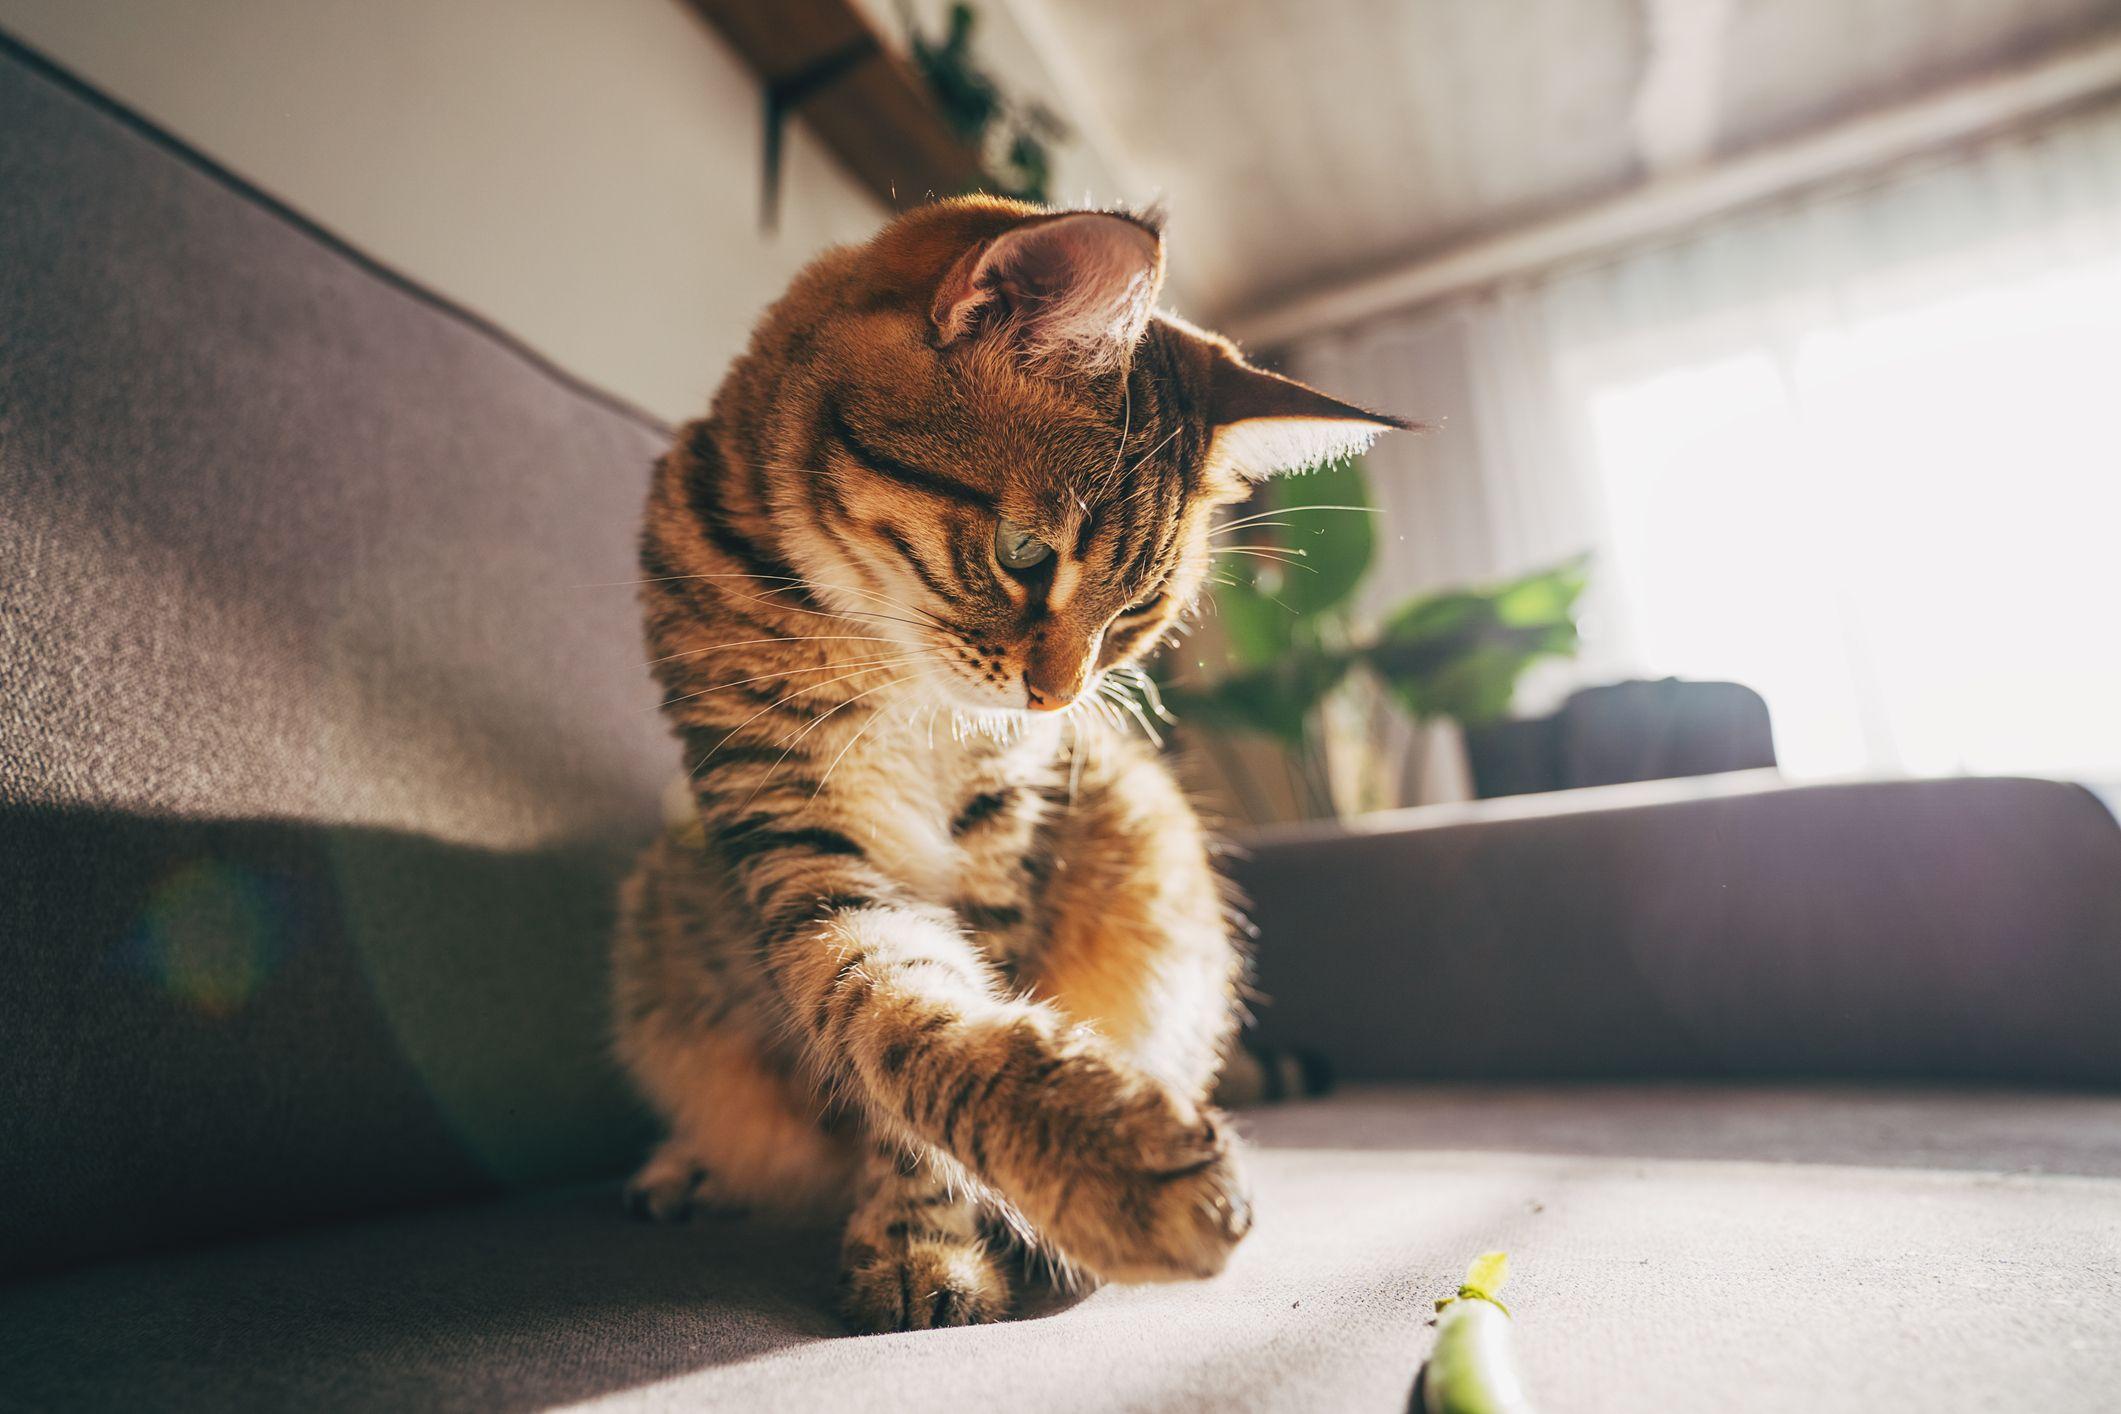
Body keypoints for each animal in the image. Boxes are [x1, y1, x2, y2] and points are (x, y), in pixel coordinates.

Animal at [615, 199, 1408, 1339]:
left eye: (1135, 612)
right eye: (1026, 555)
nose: (1056, 698)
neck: (885, 667)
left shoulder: (1000, 851)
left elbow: (932, 1056)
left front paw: (950, 1228)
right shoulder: (797, 839)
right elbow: (893, 1015)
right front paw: (1083, 1173)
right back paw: (691, 1166)